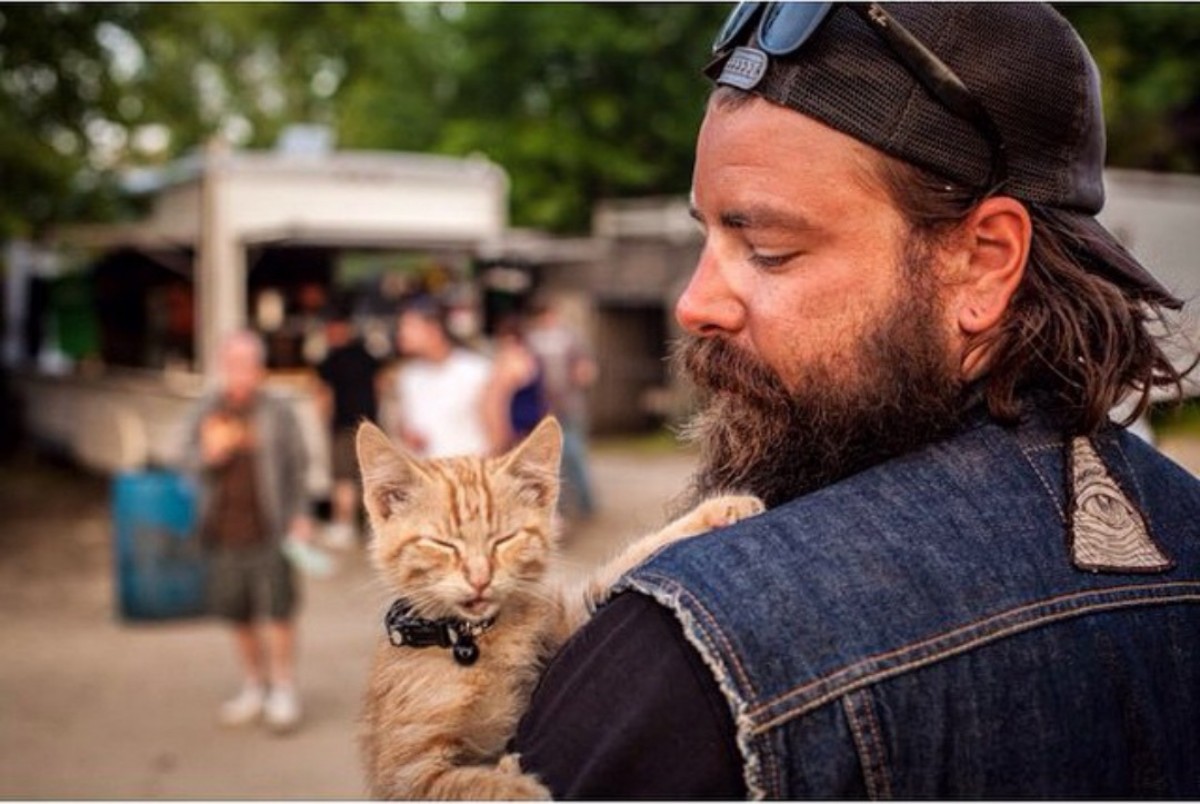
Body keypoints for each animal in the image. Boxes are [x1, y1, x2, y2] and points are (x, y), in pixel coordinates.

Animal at [352, 420, 758, 801]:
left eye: (505, 540)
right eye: (442, 544)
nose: (480, 578)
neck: (475, 640)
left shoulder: (565, 621)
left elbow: (619, 569)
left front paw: (719, 509)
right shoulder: (404, 771)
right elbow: (457, 784)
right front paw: (516, 787)